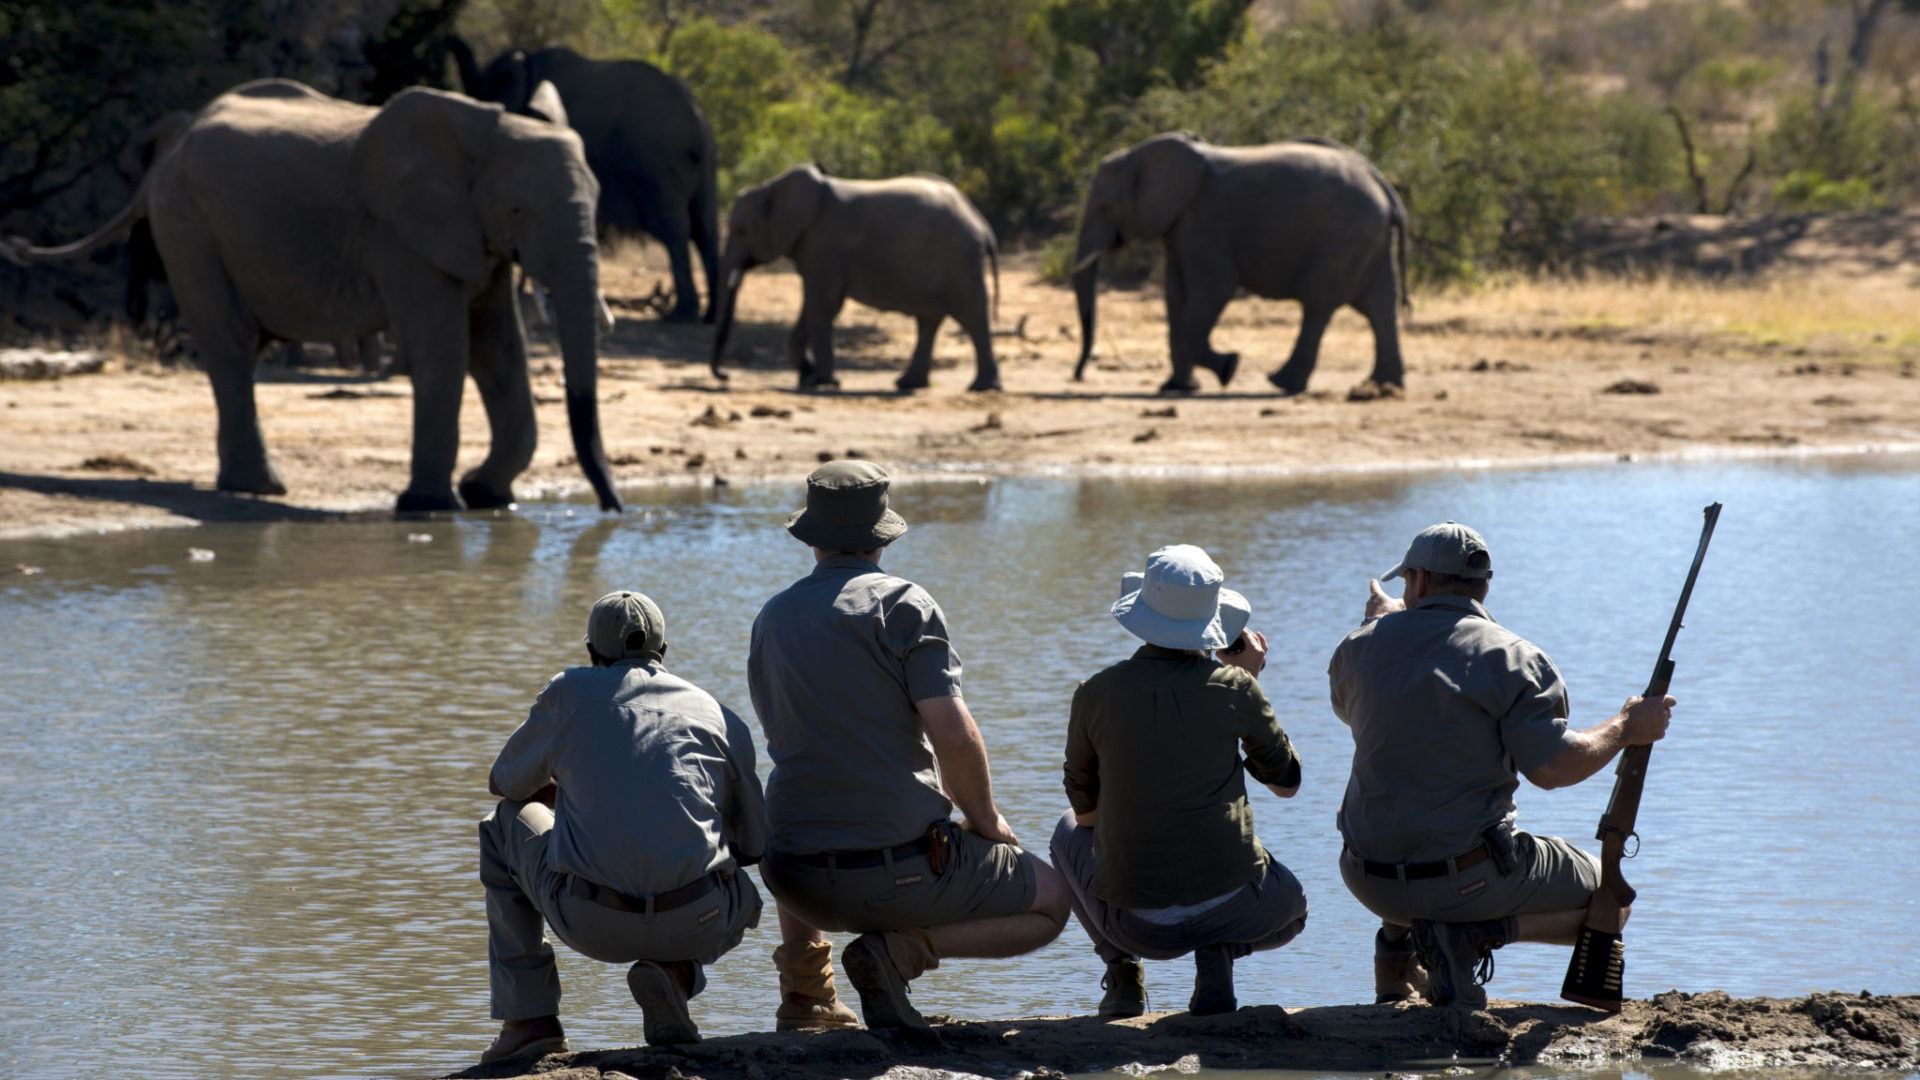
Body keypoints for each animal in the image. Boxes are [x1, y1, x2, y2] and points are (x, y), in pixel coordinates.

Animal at [2, 78, 621, 513]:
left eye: (597, 197)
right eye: (519, 209)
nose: (614, 510)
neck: (480, 131)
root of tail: (172, 149)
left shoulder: (472, 235)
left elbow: (498, 351)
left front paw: (486, 496)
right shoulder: (399, 232)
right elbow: (445, 350)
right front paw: (427, 507)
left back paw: (249, 486)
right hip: (187, 223)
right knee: (229, 345)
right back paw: (260, 488)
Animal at [451, 39, 719, 324]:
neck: (527, 60)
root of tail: (697, 122)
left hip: (657, 167)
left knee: (674, 231)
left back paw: (680, 315)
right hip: (705, 163)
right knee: (704, 228)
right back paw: (709, 317)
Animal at [708, 164, 1002, 393]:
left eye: (740, 231)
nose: (726, 376)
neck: (773, 185)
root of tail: (982, 225)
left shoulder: (825, 244)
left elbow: (823, 306)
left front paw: (823, 381)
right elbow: (813, 307)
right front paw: (808, 376)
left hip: (959, 261)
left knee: (972, 316)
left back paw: (982, 387)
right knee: (929, 320)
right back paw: (908, 384)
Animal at [1072, 132, 1408, 396]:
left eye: (1104, 206)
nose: (1079, 375)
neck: (1138, 153)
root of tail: (1383, 186)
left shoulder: (1204, 223)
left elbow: (1213, 290)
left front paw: (1229, 367)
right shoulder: (1180, 226)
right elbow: (1175, 295)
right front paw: (1177, 388)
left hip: (1344, 234)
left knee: (1318, 305)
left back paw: (1281, 383)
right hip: (1369, 238)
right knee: (1380, 307)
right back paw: (1383, 387)